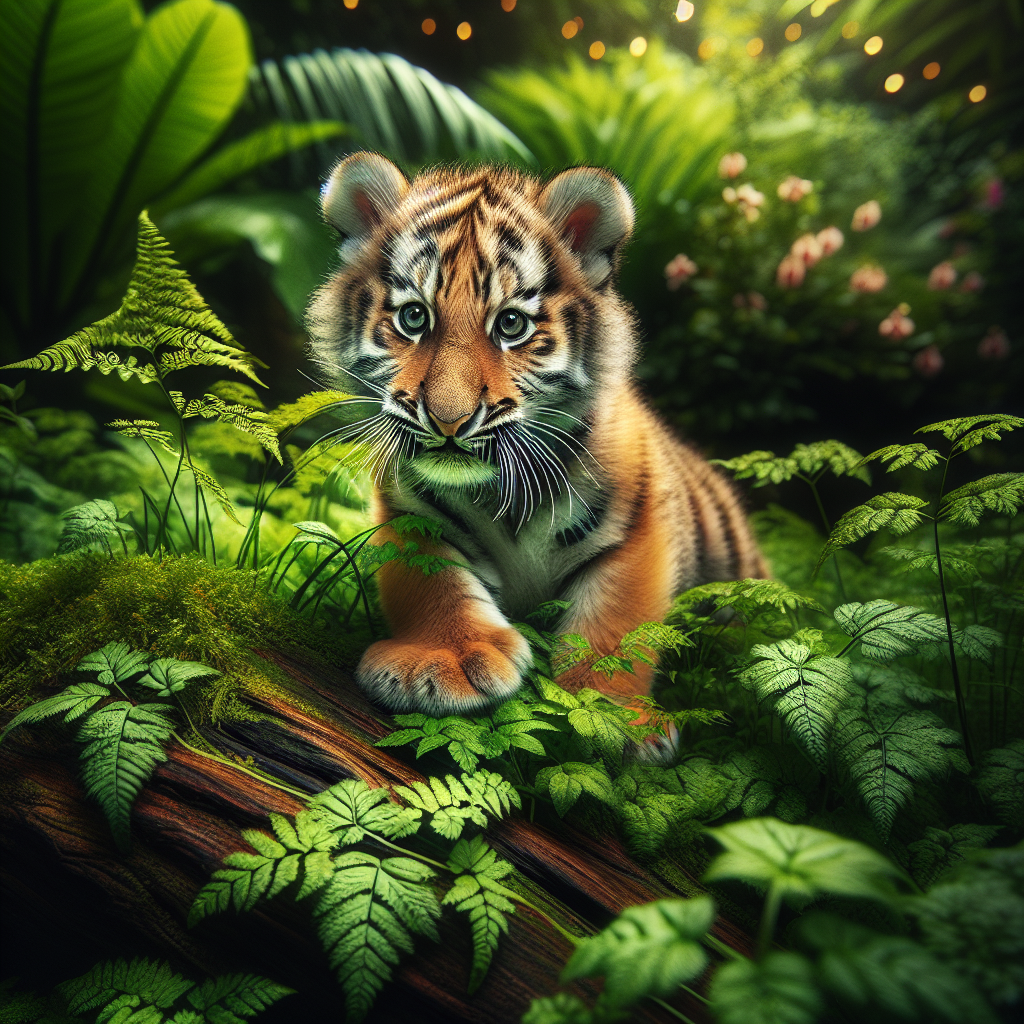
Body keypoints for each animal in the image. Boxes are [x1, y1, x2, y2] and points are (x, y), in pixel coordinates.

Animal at [306, 152, 767, 723]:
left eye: (510, 325)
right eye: (413, 317)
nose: (449, 420)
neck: (501, 495)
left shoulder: (639, 528)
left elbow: (619, 623)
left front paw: (610, 711)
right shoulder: (408, 515)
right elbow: (430, 581)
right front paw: (444, 661)